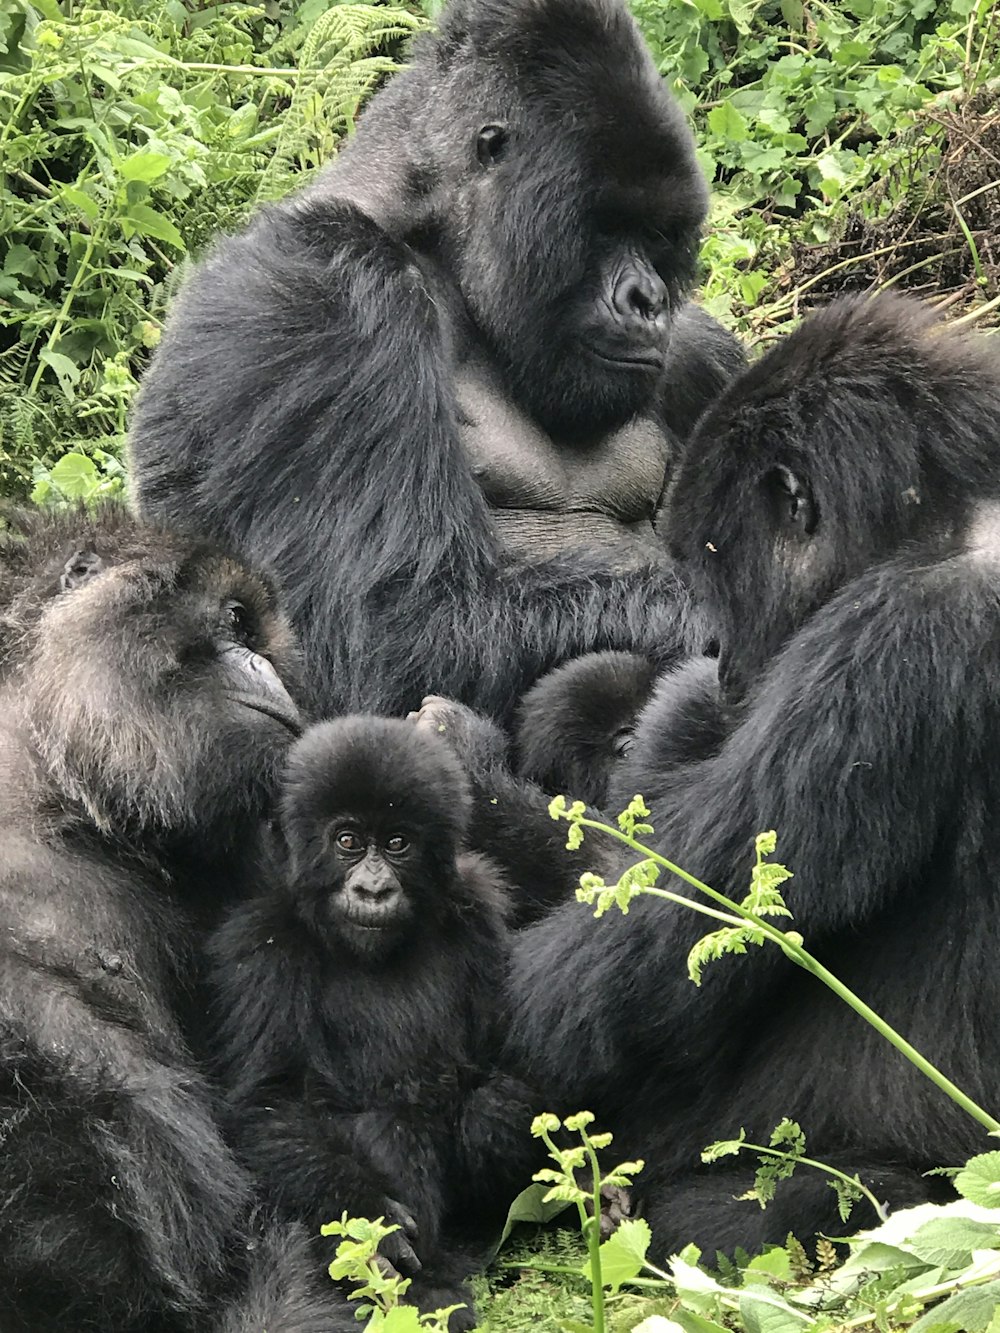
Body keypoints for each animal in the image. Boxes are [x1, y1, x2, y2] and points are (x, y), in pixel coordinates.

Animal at [129, 0, 746, 719]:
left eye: (660, 236)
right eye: (607, 225)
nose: (649, 300)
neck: (435, 238)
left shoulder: (703, 359)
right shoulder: (328, 292)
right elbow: (390, 634)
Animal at [212, 725, 541, 1327]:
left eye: (396, 844)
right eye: (347, 841)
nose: (372, 889)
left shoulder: (478, 909)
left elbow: (505, 1069)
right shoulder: (261, 947)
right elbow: (266, 1104)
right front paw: (369, 1219)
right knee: (386, 1123)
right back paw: (427, 1291)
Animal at [410, 294, 1000, 1258]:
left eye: (716, 553)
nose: (719, 654)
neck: (947, 514)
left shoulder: (894, 637)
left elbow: (636, 954)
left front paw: (469, 777)